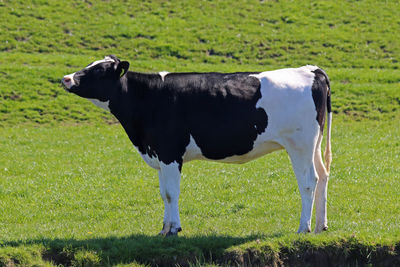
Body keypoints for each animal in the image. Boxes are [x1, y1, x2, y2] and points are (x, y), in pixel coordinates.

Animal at [61, 55, 332, 237]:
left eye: (99, 70)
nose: (66, 78)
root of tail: (311, 70)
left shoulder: (170, 153)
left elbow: (172, 192)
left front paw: (174, 229)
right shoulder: (159, 154)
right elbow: (163, 193)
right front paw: (164, 229)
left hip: (300, 145)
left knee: (309, 182)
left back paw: (304, 228)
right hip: (314, 145)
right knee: (323, 176)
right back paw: (321, 225)